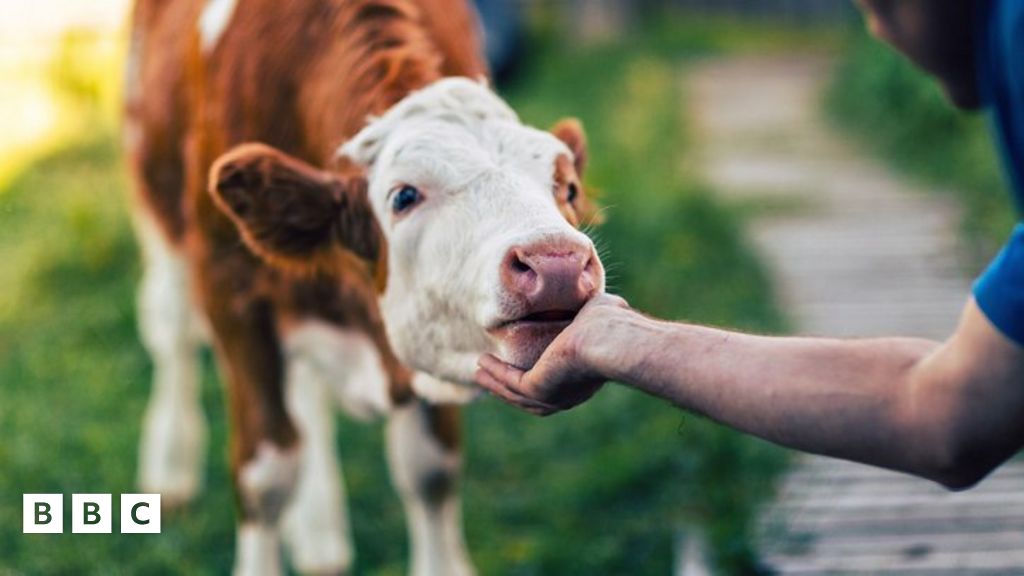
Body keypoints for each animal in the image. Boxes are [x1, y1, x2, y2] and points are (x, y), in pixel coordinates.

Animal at [123, 0, 605, 574]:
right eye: (403, 196)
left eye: (568, 188)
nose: (556, 263)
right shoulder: (231, 285)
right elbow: (266, 476)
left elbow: (430, 470)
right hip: (158, 196)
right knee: (173, 332)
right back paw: (172, 467)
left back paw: (318, 533)